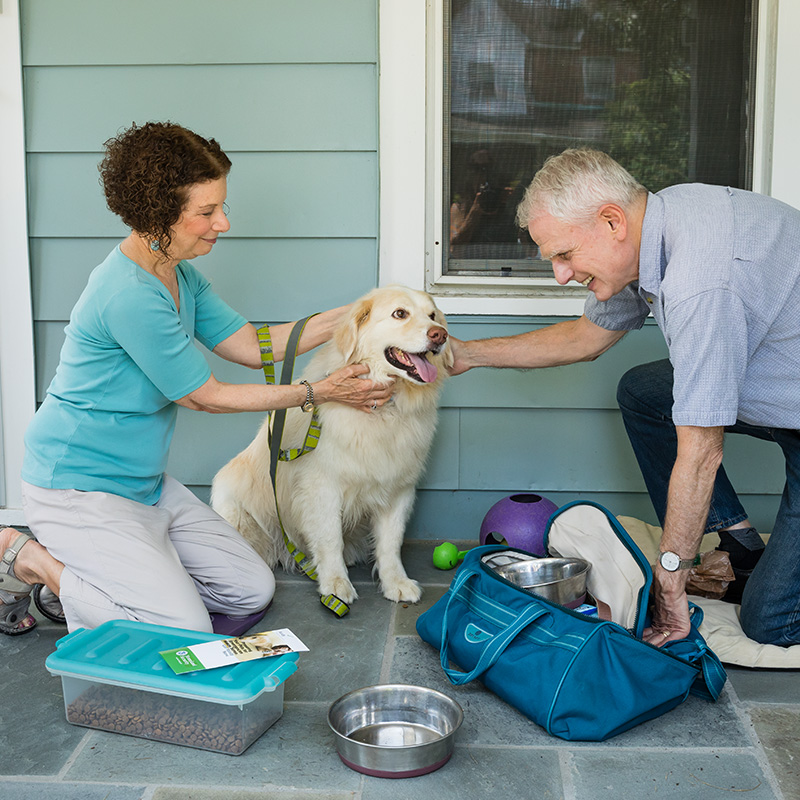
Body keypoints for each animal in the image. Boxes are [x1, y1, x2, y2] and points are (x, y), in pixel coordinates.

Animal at [211, 288, 450, 608]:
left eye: (433, 315)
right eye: (400, 313)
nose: (440, 335)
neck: (385, 409)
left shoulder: (398, 487)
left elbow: (391, 542)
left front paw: (396, 583)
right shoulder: (322, 488)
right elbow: (329, 538)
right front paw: (335, 585)